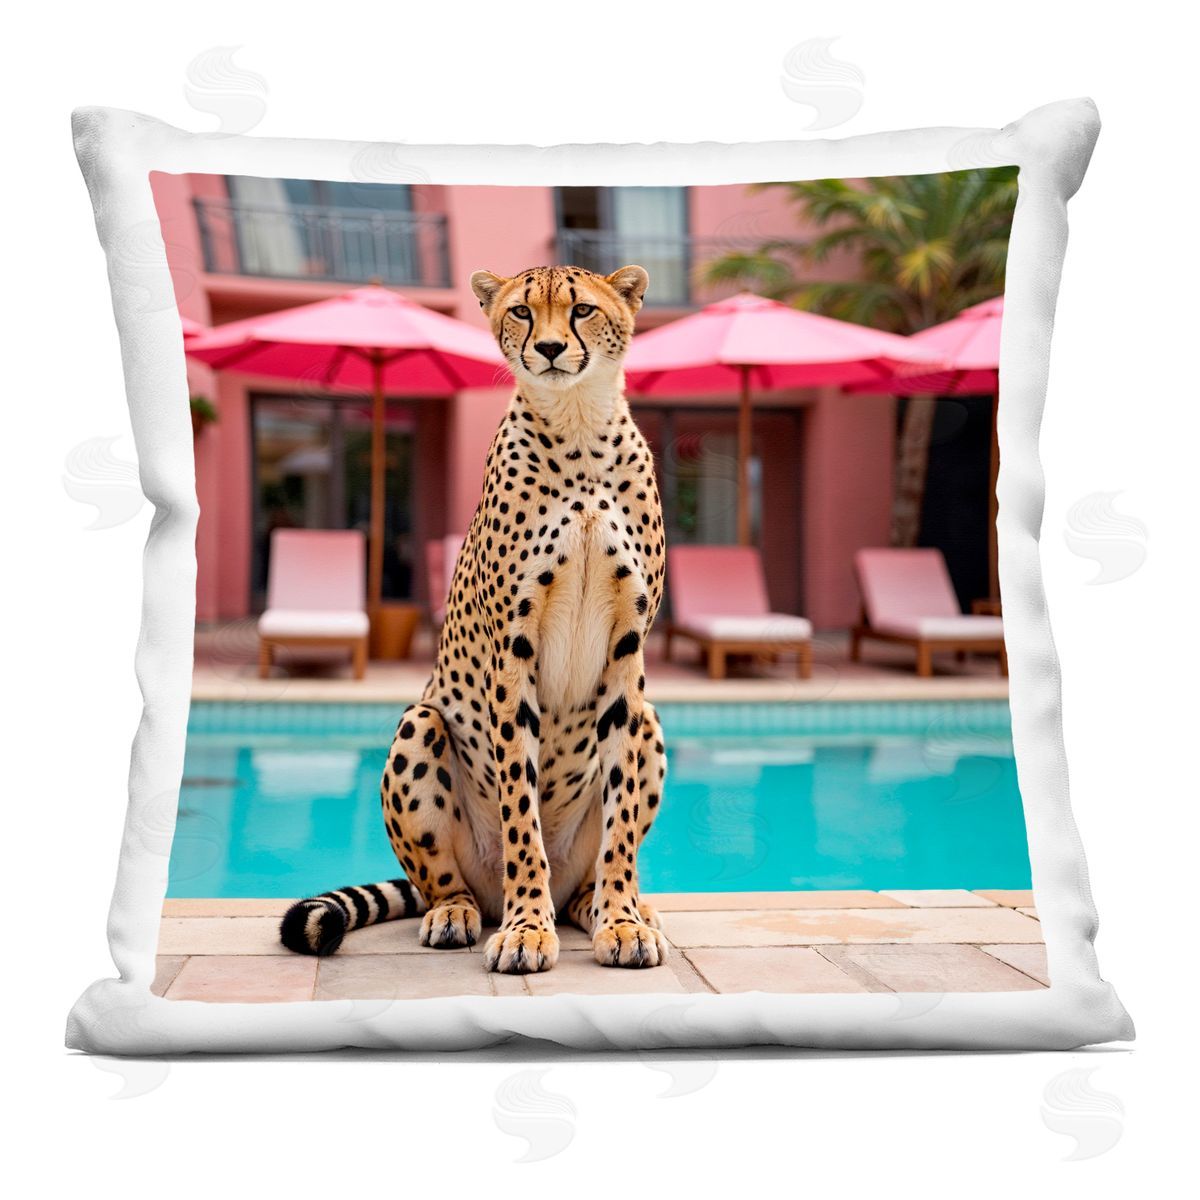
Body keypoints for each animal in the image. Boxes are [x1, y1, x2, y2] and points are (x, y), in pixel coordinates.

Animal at [280, 263, 669, 974]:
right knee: (445, 879)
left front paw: (623, 920)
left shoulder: (629, 655)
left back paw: (598, 904)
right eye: (521, 312)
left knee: (589, 865)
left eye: (581, 311)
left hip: (650, 721)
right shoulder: (511, 654)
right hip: (420, 723)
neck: (579, 429)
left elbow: (622, 818)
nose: (549, 348)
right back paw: (458, 913)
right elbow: (521, 810)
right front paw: (526, 929)